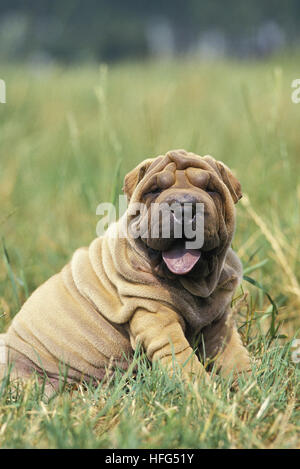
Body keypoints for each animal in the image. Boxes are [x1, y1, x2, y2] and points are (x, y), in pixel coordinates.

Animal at [0, 151, 251, 392]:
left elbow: (232, 352)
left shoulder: (219, 320)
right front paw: (200, 387)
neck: (194, 284)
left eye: (210, 189)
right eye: (155, 190)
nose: (183, 205)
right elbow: (180, 355)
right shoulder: (153, 314)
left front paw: (248, 382)